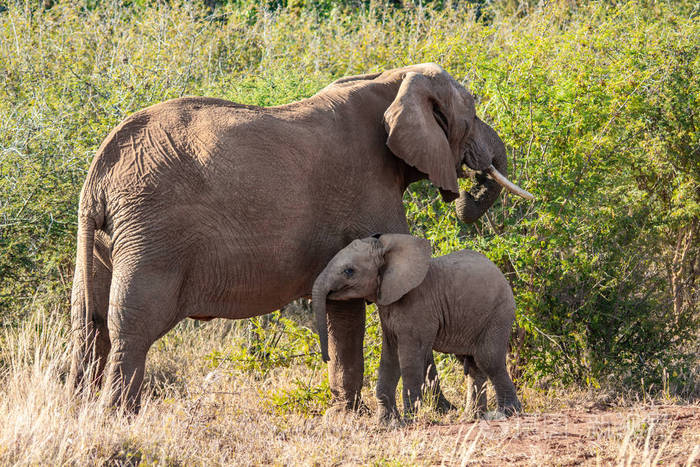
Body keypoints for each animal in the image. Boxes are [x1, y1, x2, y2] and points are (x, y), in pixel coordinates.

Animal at [312, 234, 522, 420]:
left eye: (349, 271)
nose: (326, 358)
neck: (386, 250)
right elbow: (389, 357)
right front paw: (385, 423)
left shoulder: (417, 307)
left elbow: (409, 359)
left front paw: (408, 419)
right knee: (472, 364)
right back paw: (471, 417)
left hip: (498, 313)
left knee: (488, 359)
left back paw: (508, 413)